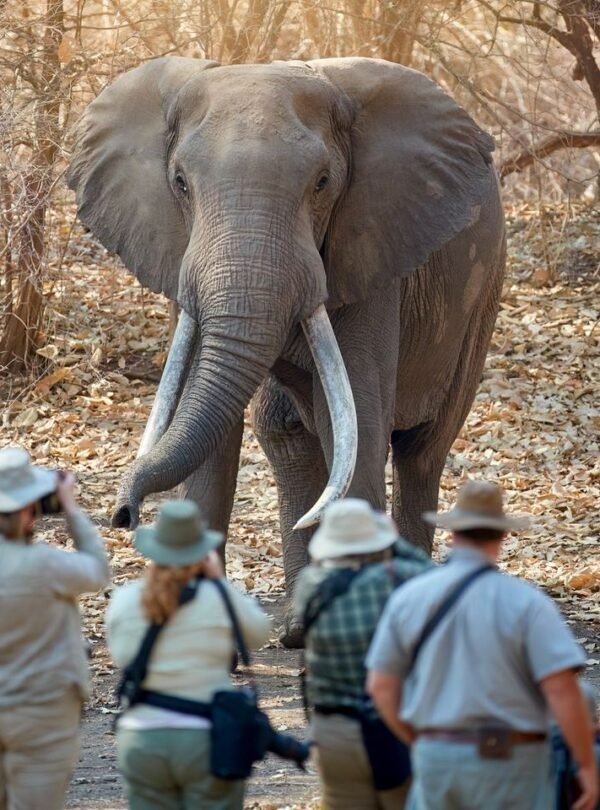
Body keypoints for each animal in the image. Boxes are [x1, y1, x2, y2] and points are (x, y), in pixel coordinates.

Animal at [67, 56, 505, 646]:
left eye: (322, 183)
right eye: (179, 182)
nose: (122, 513)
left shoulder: (370, 251)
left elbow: (358, 420)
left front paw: (355, 636)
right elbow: (213, 429)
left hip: (480, 301)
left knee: (420, 450)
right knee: (290, 436)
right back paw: (299, 627)